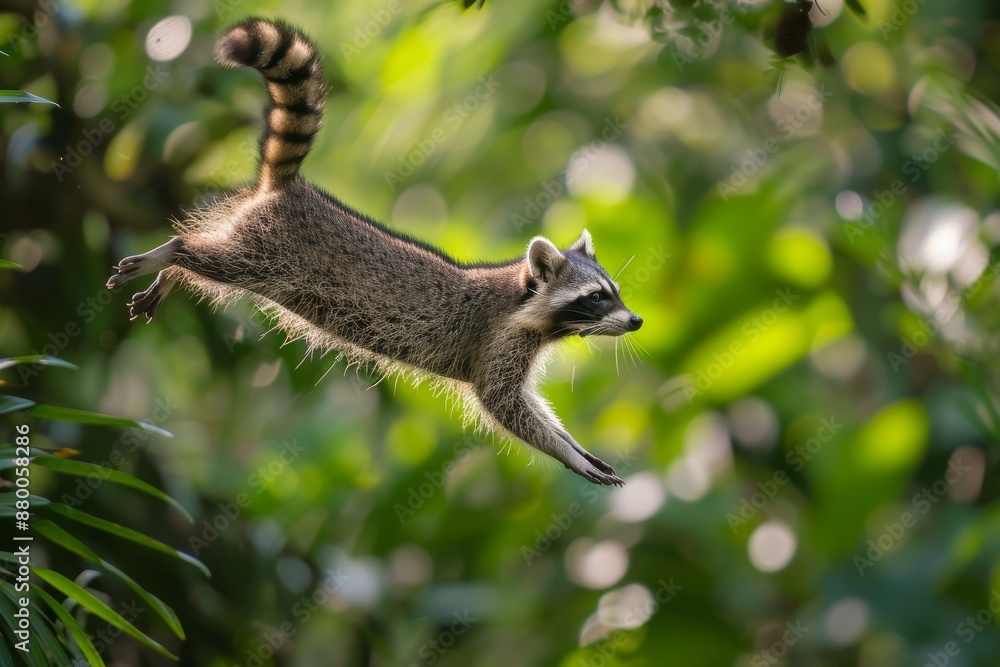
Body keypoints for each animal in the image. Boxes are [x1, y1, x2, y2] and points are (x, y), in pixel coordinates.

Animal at [107, 18, 643, 486]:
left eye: (615, 292)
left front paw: (573, 444)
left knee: (211, 258)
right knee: (208, 256)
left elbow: (533, 411)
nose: (636, 320)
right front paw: (567, 455)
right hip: (266, 251)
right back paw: (171, 254)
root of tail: (292, 189)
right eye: (596, 297)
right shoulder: (496, 342)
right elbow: (507, 407)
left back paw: (172, 274)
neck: (533, 310)